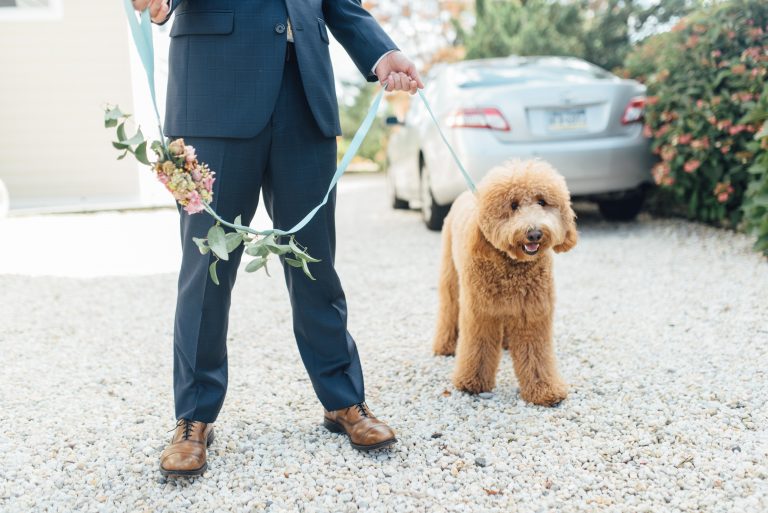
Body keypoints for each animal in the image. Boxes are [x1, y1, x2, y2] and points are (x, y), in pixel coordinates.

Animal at [432, 159, 576, 404]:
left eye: (542, 202)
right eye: (513, 205)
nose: (534, 233)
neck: (512, 266)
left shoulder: (532, 314)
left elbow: (537, 355)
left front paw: (544, 389)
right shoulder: (480, 312)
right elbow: (478, 348)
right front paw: (472, 382)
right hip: (451, 275)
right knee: (449, 307)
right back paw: (445, 345)